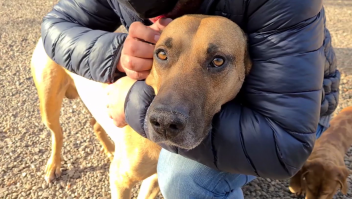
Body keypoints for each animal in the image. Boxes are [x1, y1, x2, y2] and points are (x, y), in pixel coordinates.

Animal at [30, 14, 250, 198]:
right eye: (161, 54)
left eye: (218, 61)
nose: (164, 122)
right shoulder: (120, 180)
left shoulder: (154, 180)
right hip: (49, 106)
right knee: (58, 133)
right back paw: (54, 165)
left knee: (95, 125)